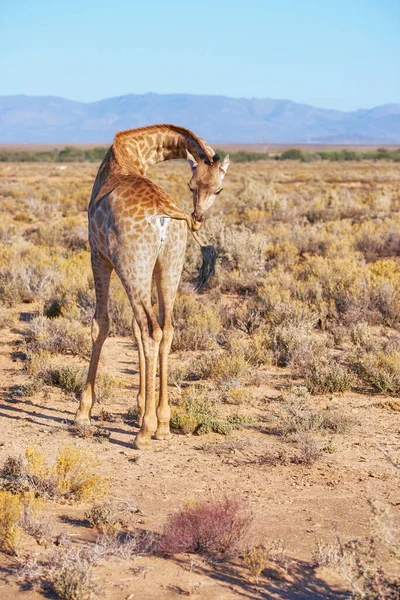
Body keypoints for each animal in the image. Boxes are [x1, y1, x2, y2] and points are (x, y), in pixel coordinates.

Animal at [75, 124, 230, 448]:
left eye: (218, 190)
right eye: (192, 185)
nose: (198, 217)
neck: (130, 154)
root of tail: (166, 215)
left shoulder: (98, 255)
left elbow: (101, 325)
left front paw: (83, 411)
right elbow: (134, 329)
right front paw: (139, 404)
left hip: (132, 266)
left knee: (150, 329)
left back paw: (144, 431)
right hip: (168, 266)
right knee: (165, 328)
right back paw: (163, 423)